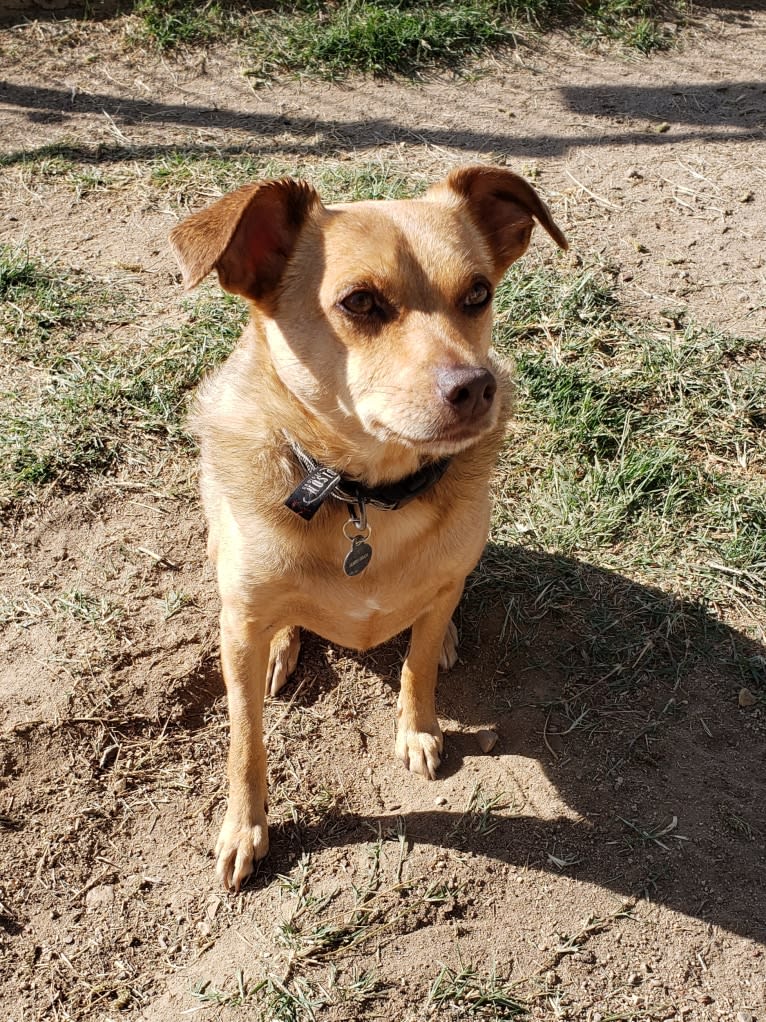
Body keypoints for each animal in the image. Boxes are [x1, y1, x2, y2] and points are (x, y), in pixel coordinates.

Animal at [173, 163, 571, 891]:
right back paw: (284, 646)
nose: (477, 386)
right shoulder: (239, 627)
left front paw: (418, 728)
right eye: (359, 303)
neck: (368, 497)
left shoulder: (439, 583)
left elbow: (416, 666)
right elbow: (245, 742)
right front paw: (244, 828)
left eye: (479, 293)